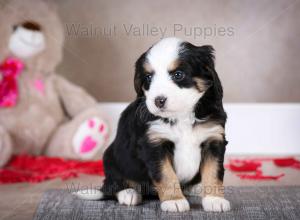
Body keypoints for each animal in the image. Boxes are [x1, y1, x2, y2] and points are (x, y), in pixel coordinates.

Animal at [75, 37, 230, 212]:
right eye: (148, 77)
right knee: (114, 186)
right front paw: (174, 201)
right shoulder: (154, 144)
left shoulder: (213, 139)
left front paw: (214, 199)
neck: (181, 116)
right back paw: (129, 194)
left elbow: (213, 171)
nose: (159, 100)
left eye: (178, 74)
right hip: (111, 158)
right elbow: (166, 174)